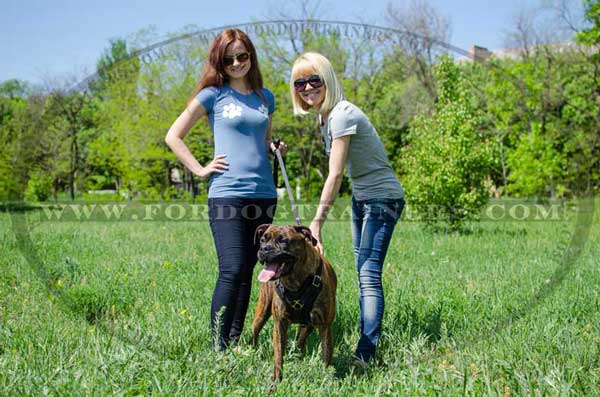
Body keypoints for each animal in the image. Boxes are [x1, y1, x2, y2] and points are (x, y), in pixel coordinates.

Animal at [251, 223, 338, 380]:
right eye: (262, 240)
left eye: (283, 240)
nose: (264, 249)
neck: (294, 280)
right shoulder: (279, 324)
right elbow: (278, 356)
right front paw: (276, 380)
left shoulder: (325, 326)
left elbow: (326, 356)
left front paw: (326, 379)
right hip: (262, 312)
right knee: (255, 331)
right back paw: (254, 351)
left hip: (309, 324)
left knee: (301, 339)